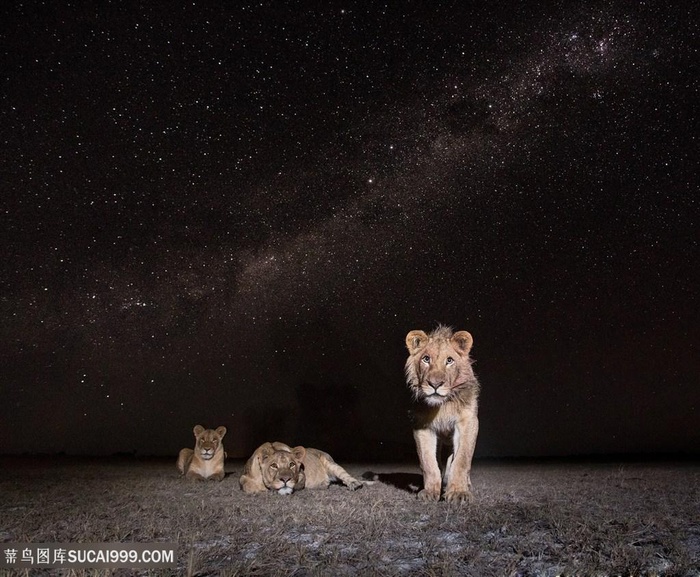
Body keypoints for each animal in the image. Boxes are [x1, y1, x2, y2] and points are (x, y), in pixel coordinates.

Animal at [404, 326, 482, 502]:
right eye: (426, 359)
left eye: (449, 361)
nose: (435, 384)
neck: (442, 406)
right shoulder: (422, 426)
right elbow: (429, 463)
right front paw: (430, 491)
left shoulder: (467, 422)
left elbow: (462, 460)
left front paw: (459, 492)